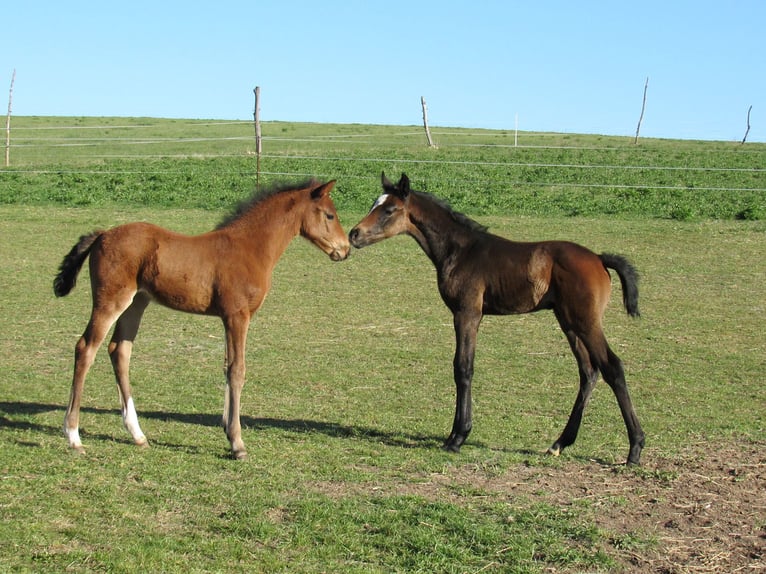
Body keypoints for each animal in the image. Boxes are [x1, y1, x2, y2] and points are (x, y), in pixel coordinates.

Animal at [54, 179, 350, 459]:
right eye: (330, 215)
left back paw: (137, 434)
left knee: (120, 351)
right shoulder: (237, 316)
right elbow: (237, 370)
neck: (249, 247)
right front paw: (237, 444)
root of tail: (102, 234)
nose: (345, 249)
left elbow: (227, 367)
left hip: (136, 303)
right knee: (85, 348)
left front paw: (227, 430)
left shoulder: (228, 319)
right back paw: (74, 436)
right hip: (111, 301)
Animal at [349, 173, 645, 465]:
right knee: (588, 371)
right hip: (568, 322)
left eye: (389, 209)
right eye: (374, 204)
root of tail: (599, 258)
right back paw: (559, 443)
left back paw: (635, 448)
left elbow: (463, 368)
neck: (460, 251)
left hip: (586, 323)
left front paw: (457, 437)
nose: (354, 234)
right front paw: (455, 435)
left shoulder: (467, 313)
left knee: (612, 367)